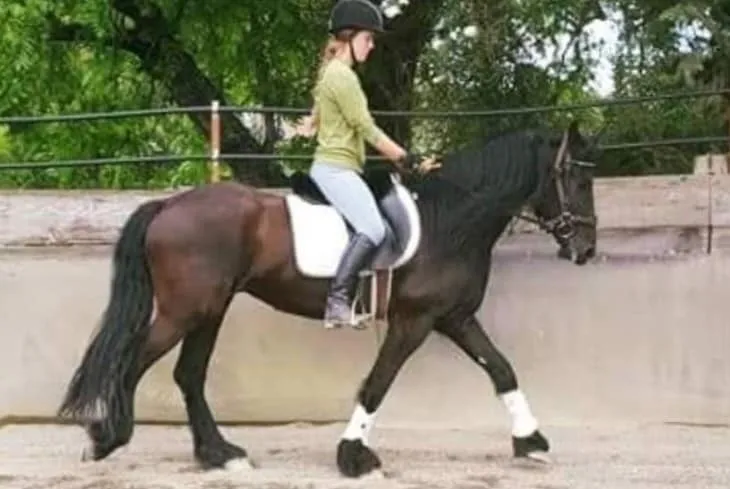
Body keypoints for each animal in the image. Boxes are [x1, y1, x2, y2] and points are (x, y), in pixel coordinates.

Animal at [56, 119, 598, 478]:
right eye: (577, 178)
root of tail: (169, 204)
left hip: (209, 310)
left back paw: (221, 454)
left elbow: (501, 368)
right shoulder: (414, 321)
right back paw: (105, 439)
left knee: (189, 374)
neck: (450, 221)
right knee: (134, 362)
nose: (586, 249)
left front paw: (531, 441)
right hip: (185, 311)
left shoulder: (454, 317)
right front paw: (354, 457)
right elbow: (377, 385)